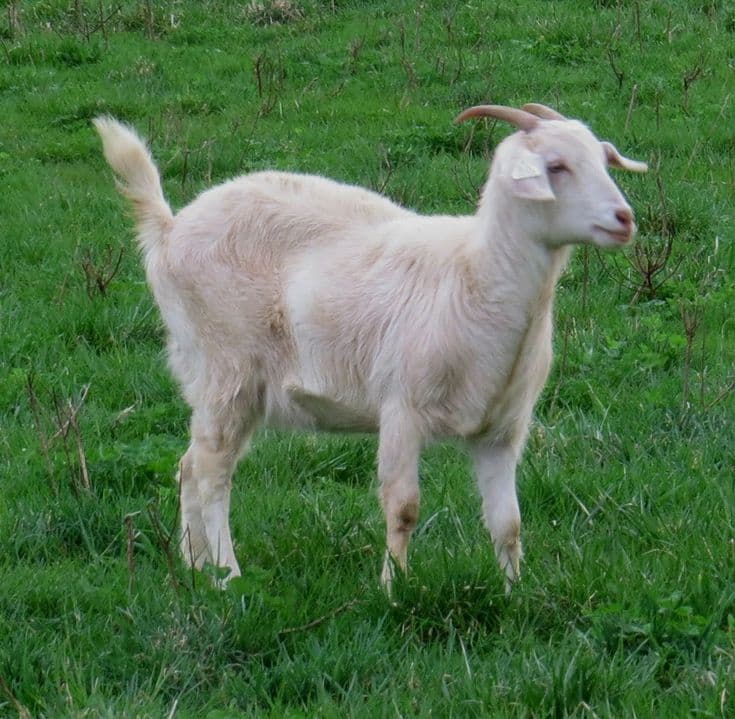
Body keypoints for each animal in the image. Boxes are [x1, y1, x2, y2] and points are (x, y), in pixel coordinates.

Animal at [94, 104, 647, 592]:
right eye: (555, 166)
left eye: (602, 160)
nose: (624, 218)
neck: (472, 275)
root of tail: (167, 229)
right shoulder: (402, 407)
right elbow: (403, 508)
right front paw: (393, 589)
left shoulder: (502, 430)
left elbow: (508, 523)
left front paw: (515, 593)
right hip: (227, 368)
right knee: (211, 473)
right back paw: (228, 575)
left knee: (190, 465)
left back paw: (194, 568)